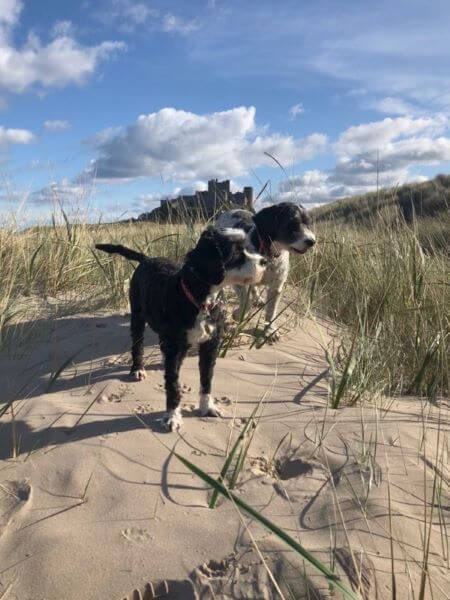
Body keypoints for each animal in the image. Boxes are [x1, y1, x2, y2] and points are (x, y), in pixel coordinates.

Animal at [93, 226, 266, 432]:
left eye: (248, 247)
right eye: (237, 254)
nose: (265, 261)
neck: (200, 301)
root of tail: (147, 259)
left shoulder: (210, 345)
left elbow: (206, 379)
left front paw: (207, 407)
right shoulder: (175, 347)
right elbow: (173, 384)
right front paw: (172, 416)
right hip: (137, 316)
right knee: (137, 343)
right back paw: (137, 369)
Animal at [215, 203, 314, 338]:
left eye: (308, 224)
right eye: (291, 225)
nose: (312, 241)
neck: (269, 255)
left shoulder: (276, 288)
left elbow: (271, 312)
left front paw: (269, 330)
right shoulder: (237, 282)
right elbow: (247, 302)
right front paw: (238, 314)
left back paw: (258, 298)